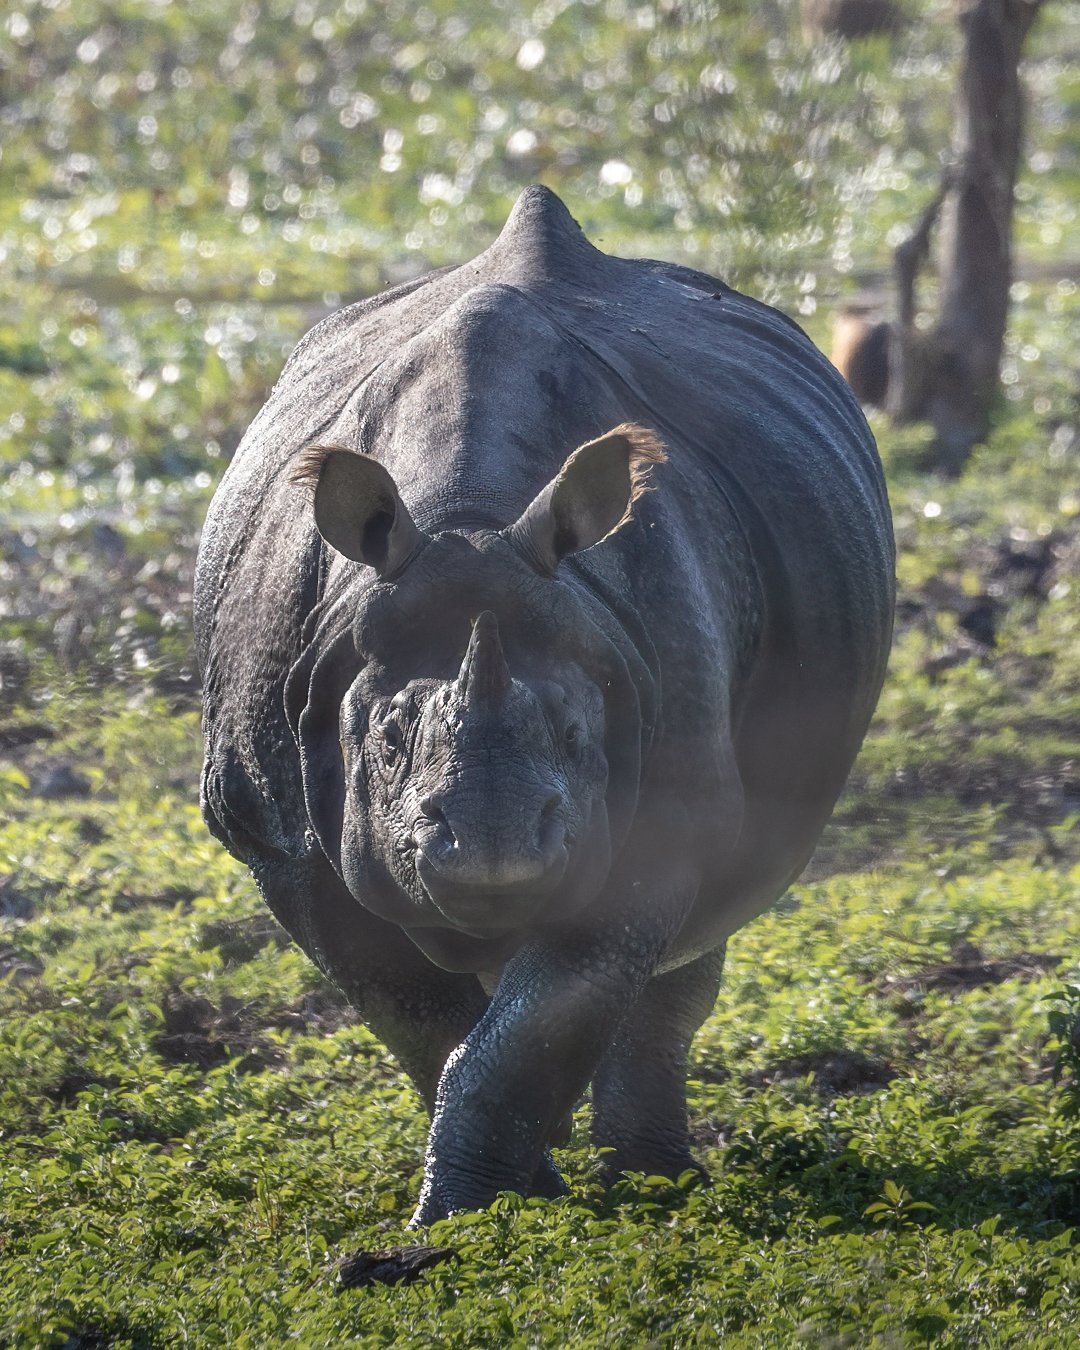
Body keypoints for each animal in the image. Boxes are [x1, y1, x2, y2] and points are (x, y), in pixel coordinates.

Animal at [194, 186, 894, 1224]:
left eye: (572, 732)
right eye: (389, 741)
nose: (496, 857)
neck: (469, 519)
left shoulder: (657, 811)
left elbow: (536, 1024)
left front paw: (466, 1213)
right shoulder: (278, 835)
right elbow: (418, 1021)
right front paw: (490, 1207)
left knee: (688, 949)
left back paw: (659, 1185)